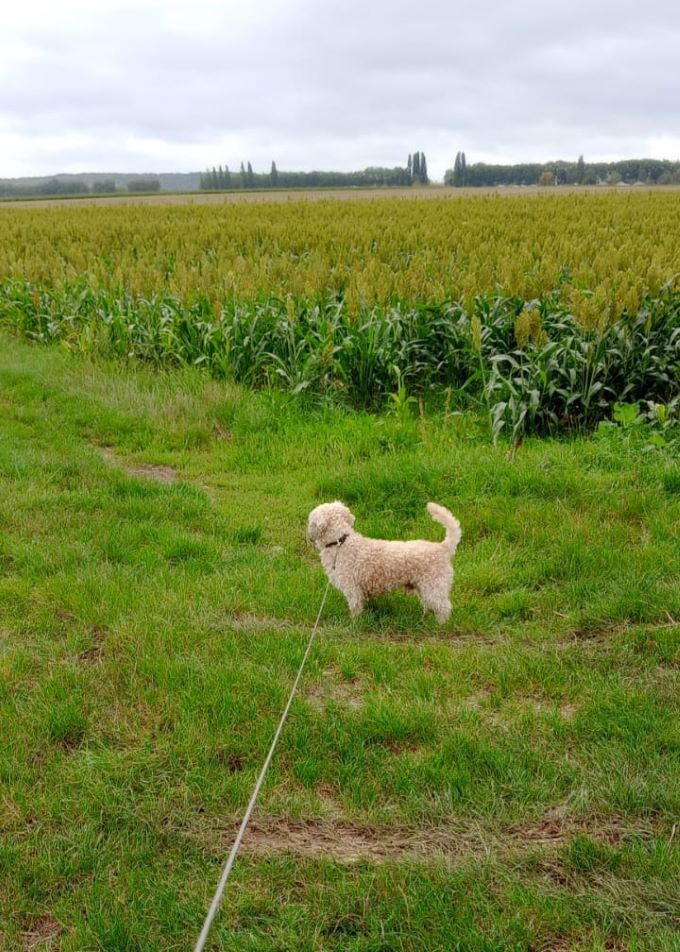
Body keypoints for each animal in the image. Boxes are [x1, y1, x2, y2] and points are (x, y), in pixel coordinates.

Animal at [308, 498, 462, 624]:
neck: (340, 542)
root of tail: (443, 547)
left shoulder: (352, 589)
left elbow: (355, 608)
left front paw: (354, 623)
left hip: (435, 586)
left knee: (444, 607)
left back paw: (440, 625)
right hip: (424, 586)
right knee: (430, 605)